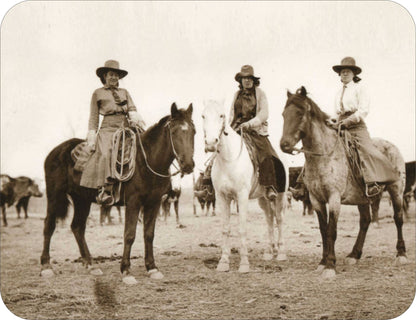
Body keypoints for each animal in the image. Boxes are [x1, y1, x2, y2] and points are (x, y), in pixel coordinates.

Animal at [39, 103, 194, 282]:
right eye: (174, 132)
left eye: (194, 131)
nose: (188, 165)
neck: (146, 161)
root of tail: (56, 151)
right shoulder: (133, 202)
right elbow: (129, 234)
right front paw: (126, 270)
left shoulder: (153, 203)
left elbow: (149, 234)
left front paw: (152, 268)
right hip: (54, 195)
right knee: (49, 225)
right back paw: (46, 266)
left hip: (81, 200)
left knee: (77, 227)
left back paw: (91, 265)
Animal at [202, 99, 288, 272]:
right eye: (203, 116)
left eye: (221, 115)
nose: (211, 143)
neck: (229, 159)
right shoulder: (222, 197)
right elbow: (225, 229)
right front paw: (223, 262)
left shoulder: (241, 196)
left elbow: (242, 229)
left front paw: (244, 264)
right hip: (263, 198)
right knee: (269, 219)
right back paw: (269, 251)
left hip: (281, 196)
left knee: (279, 218)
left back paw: (281, 253)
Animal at [280, 87, 406, 278]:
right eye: (283, 114)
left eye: (300, 113)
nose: (284, 145)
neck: (325, 156)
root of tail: (393, 148)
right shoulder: (316, 200)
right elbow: (323, 230)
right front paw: (322, 262)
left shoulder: (334, 198)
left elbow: (332, 230)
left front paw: (330, 265)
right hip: (363, 198)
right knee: (365, 221)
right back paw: (354, 254)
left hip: (396, 190)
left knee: (398, 218)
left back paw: (401, 254)